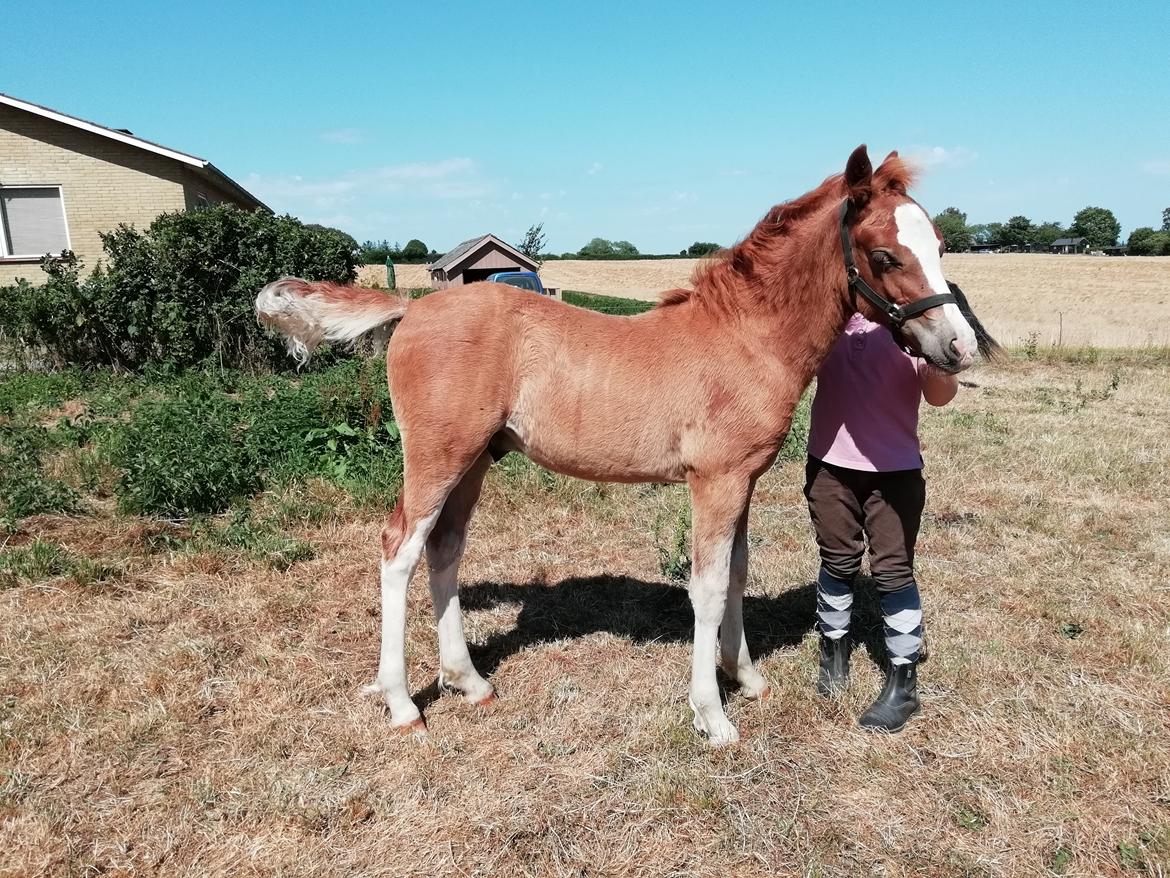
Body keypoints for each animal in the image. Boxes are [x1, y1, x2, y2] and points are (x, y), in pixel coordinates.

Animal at [256, 148, 978, 744]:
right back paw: (404, 704)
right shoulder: (714, 481)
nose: (959, 346)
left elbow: (737, 573)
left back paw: (470, 682)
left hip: (475, 462)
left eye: (941, 244)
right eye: (885, 255)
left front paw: (746, 678)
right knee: (399, 551)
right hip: (437, 458)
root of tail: (412, 308)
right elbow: (707, 587)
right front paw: (712, 715)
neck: (744, 338)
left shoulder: (741, 479)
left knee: (445, 550)